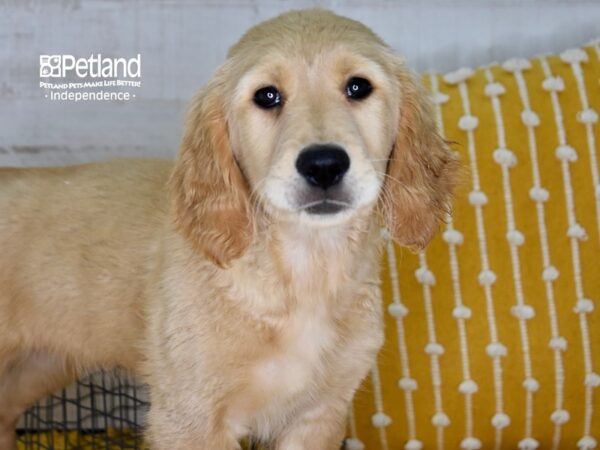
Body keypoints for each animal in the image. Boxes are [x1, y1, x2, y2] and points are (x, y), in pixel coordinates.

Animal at [0, 7, 458, 450]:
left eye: (358, 87)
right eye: (267, 96)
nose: (324, 164)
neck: (300, 270)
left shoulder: (321, 413)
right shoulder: (189, 417)